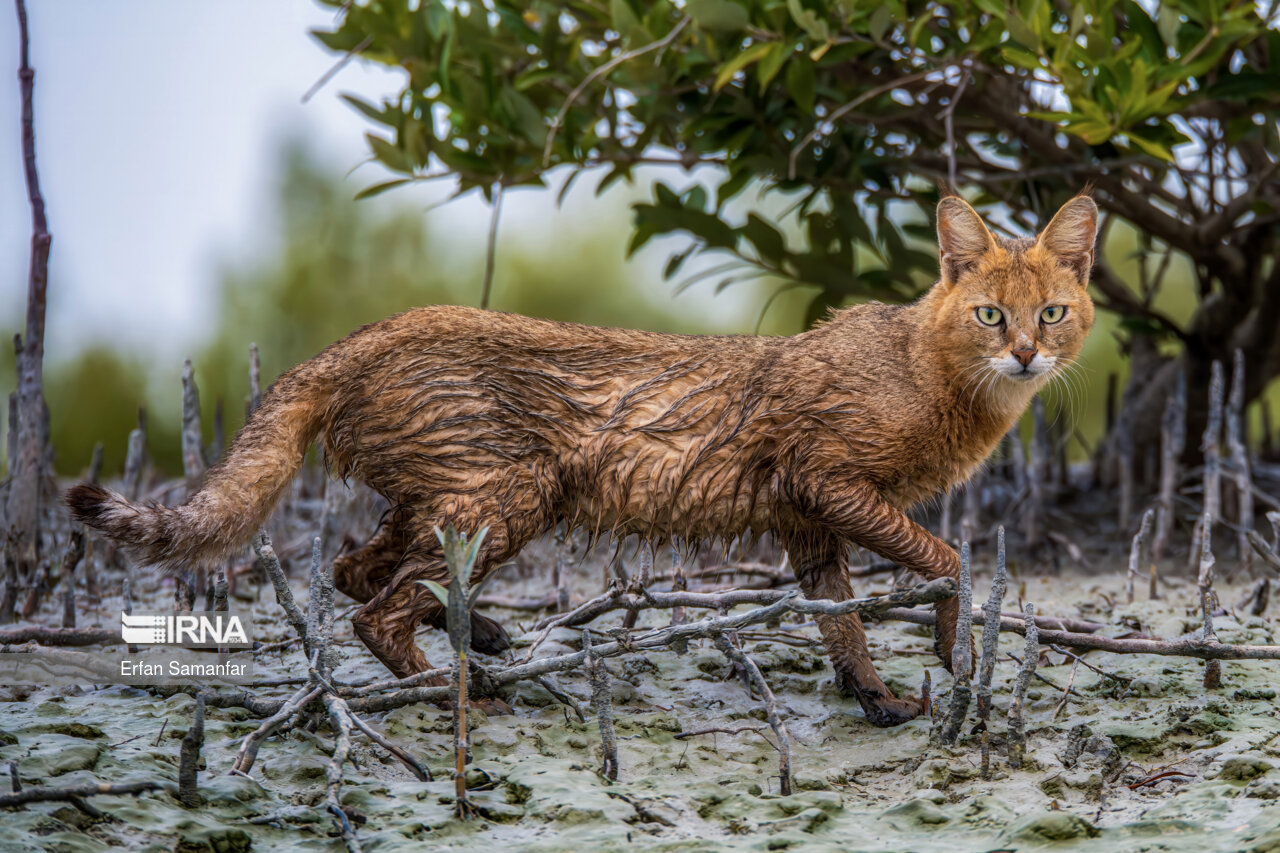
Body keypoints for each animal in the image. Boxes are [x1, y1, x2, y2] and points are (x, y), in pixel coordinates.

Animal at [64, 190, 1095, 722]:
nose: (1026, 353)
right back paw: (457, 684)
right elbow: (945, 555)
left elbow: (839, 615)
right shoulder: (825, 478)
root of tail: (363, 334)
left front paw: (875, 696)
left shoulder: (807, 518)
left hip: (452, 495)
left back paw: (478, 634)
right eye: (989, 313)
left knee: (358, 570)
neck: (937, 374)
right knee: (373, 606)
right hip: (516, 489)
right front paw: (949, 647)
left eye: (1054, 311)